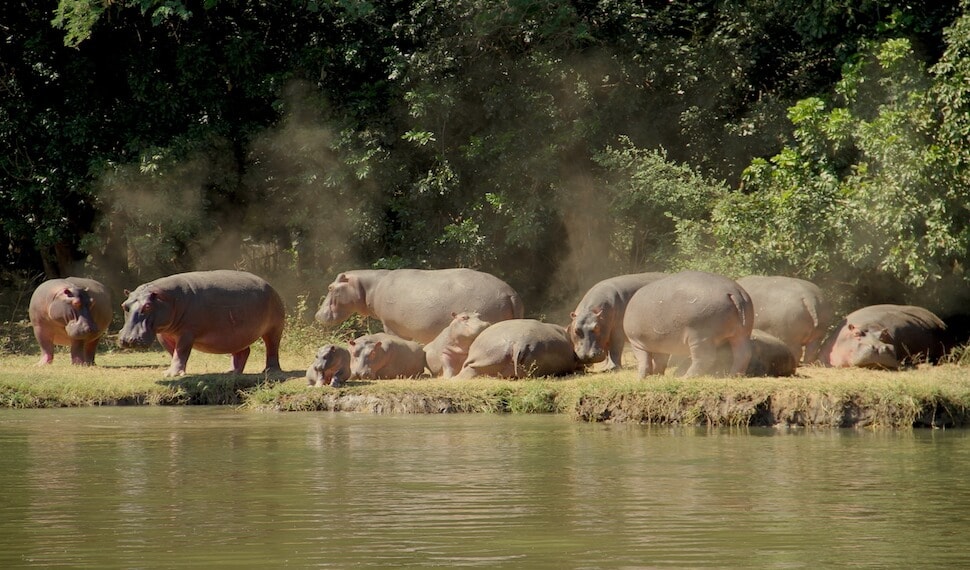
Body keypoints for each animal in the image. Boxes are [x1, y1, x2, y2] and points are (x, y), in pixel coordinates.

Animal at [118, 270, 285, 377]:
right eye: (124, 305)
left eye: (147, 306)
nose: (127, 339)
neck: (167, 298)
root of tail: (270, 285)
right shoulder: (164, 335)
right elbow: (174, 352)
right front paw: (177, 372)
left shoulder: (187, 333)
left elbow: (181, 351)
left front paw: (171, 374)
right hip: (235, 336)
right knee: (243, 351)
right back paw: (231, 372)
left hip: (274, 328)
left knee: (272, 347)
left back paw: (270, 371)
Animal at [622, 271, 754, 378]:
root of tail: (734, 292)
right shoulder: (661, 345)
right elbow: (660, 361)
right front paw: (657, 376)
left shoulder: (637, 343)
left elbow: (644, 361)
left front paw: (640, 379)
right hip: (742, 334)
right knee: (743, 354)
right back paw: (733, 376)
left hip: (699, 335)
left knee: (704, 358)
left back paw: (685, 377)